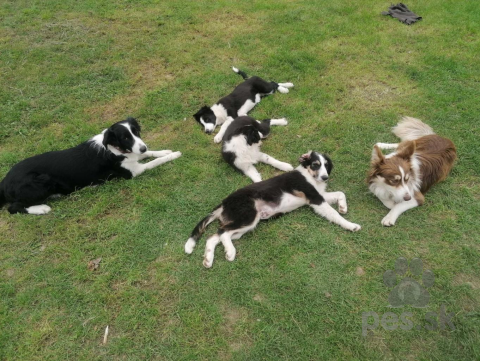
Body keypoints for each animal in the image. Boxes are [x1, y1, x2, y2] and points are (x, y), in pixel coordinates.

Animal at [0, 117, 181, 214]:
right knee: (13, 208)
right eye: (125, 138)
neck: (114, 148)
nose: (143, 147)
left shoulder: (133, 156)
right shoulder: (134, 172)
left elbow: (150, 154)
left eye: (135, 132)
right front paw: (173, 155)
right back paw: (42, 208)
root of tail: (4, 182)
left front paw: (164, 151)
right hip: (41, 181)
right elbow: (154, 161)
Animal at [186, 150, 362, 268]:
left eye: (326, 166)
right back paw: (230, 252)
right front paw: (351, 225)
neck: (308, 175)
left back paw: (208, 259)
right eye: (315, 165)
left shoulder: (319, 196)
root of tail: (224, 203)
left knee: (214, 237)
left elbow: (340, 193)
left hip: (243, 226)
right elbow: (335, 214)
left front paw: (343, 207)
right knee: (222, 232)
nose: (325, 177)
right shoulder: (315, 199)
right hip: (248, 216)